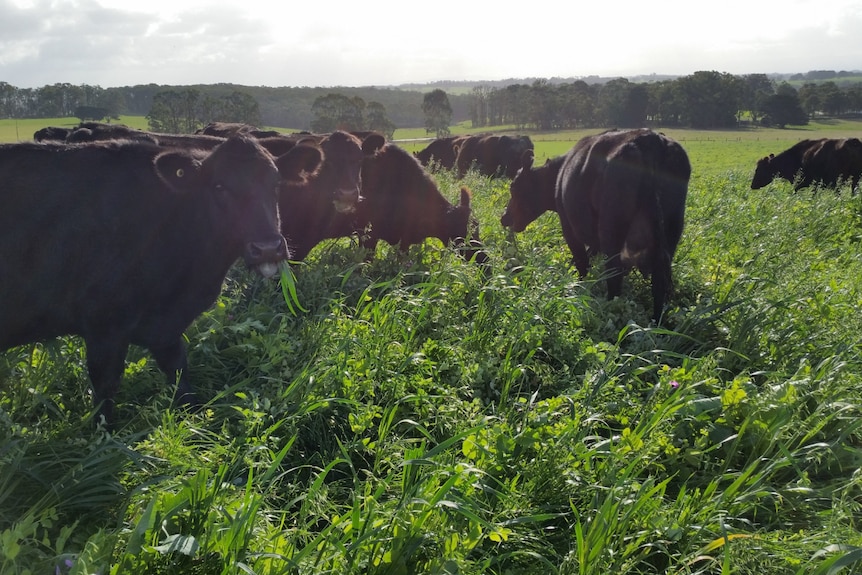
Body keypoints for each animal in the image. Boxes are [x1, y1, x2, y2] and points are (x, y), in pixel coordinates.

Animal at [0, 136, 324, 428]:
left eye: (276, 184)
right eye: (219, 187)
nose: (268, 247)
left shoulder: (165, 329)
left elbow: (180, 376)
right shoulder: (104, 326)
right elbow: (105, 390)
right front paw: (102, 437)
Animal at [502, 127, 692, 322]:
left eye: (513, 187)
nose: (504, 217)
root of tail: (651, 139)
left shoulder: (569, 226)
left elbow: (582, 262)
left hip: (611, 229)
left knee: (615, 273)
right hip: (673, 228)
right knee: (662, 277)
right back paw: (658, 320)